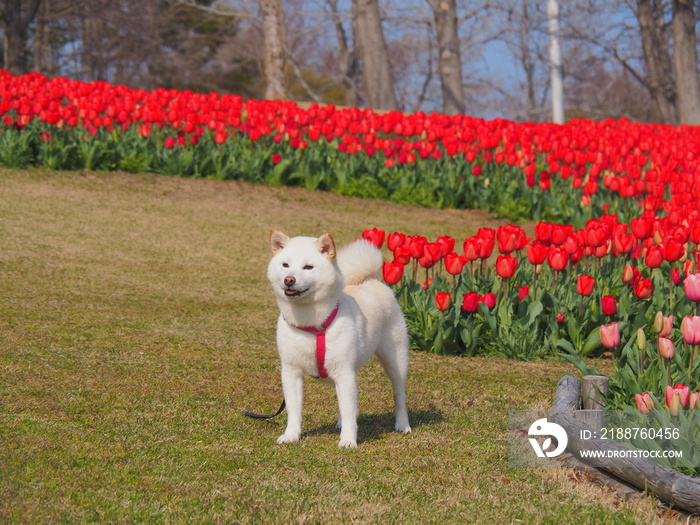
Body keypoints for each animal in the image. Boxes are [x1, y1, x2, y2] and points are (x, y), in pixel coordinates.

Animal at [266, 229, 410, 446]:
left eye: (308, 267)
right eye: (285, 265)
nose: (289, 279)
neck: (313, 325)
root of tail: (371, 280)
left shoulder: (344, 372)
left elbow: (350, 412)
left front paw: (348, 441)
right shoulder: (291, 372)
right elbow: (294, 410)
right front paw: (291, 435)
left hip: (395, 360)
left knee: (398, 393)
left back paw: (402, 424)